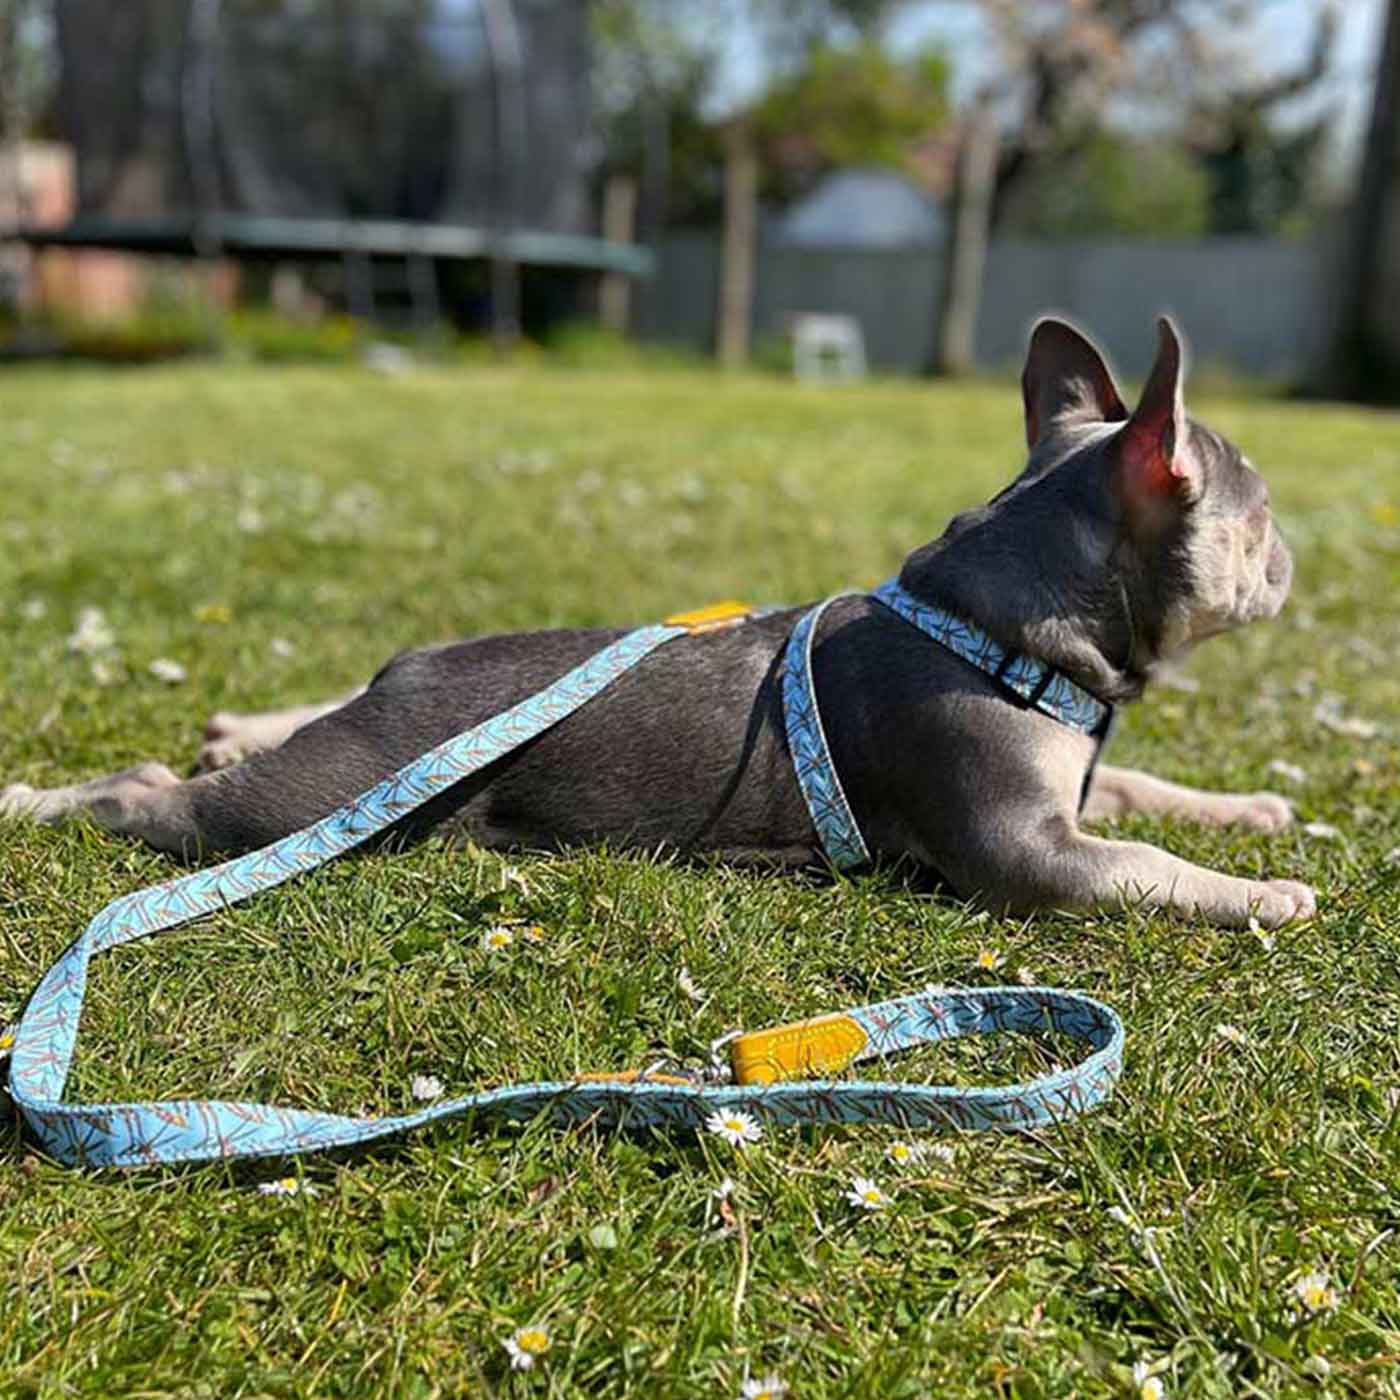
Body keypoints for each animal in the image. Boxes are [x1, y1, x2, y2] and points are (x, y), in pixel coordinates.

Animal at [0, 317, 1310, 929]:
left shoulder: (1072, 788)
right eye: (1257, 519)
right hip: (321, 804)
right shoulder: (1028, 848)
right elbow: (1141, 862)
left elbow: (1144, 793)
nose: (1292, 555)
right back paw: (41, 796)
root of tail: (404, 676)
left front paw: (1248, 813)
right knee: (146, 794)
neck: (992, 625)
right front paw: (1262, 893)